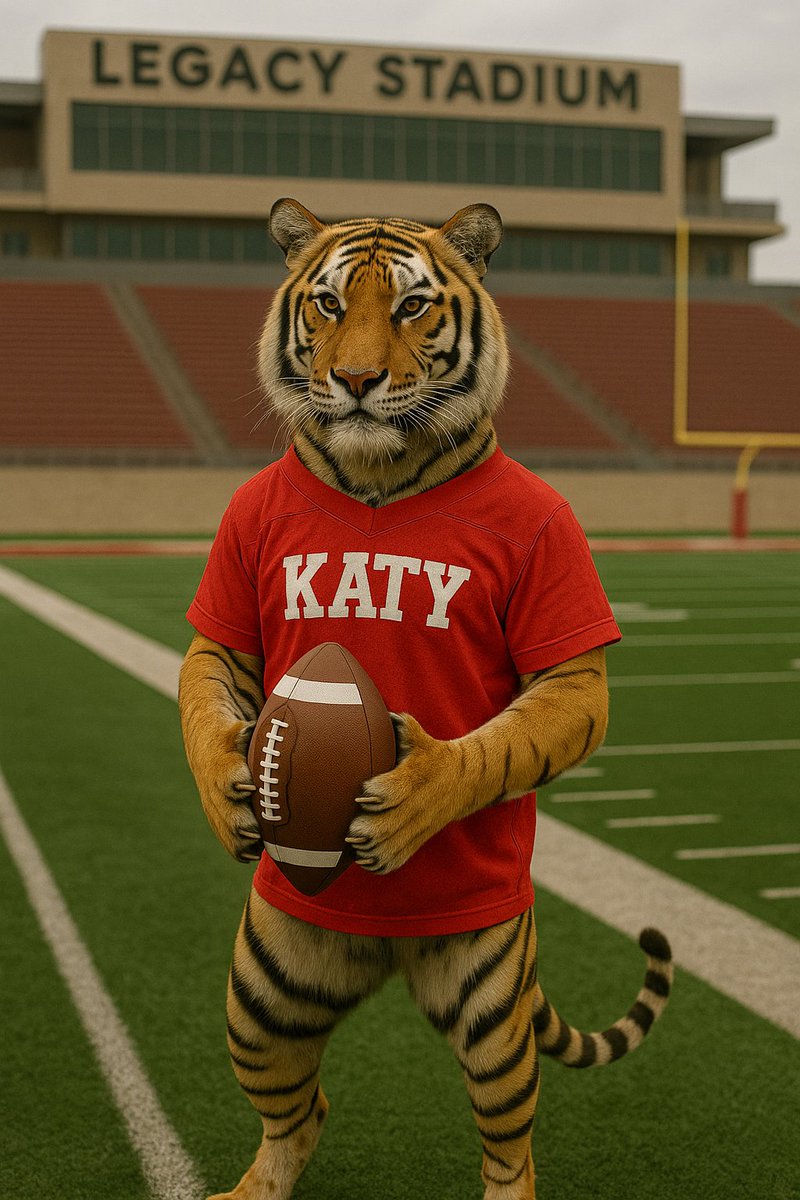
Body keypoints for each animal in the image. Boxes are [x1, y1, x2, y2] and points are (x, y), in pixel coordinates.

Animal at [178, 197, 672, 1200]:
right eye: (328, 304)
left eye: (411, 308)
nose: (357, 380)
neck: (376, 470)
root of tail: (386, 952)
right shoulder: (233, 581)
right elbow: (213, 674)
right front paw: (223, 786)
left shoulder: (561, 601)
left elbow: (512, 734)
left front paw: (419, 795)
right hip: (265, 986)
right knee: (301, 1108)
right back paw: (258, 1182)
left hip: (490, 1005)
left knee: (510, 1136)